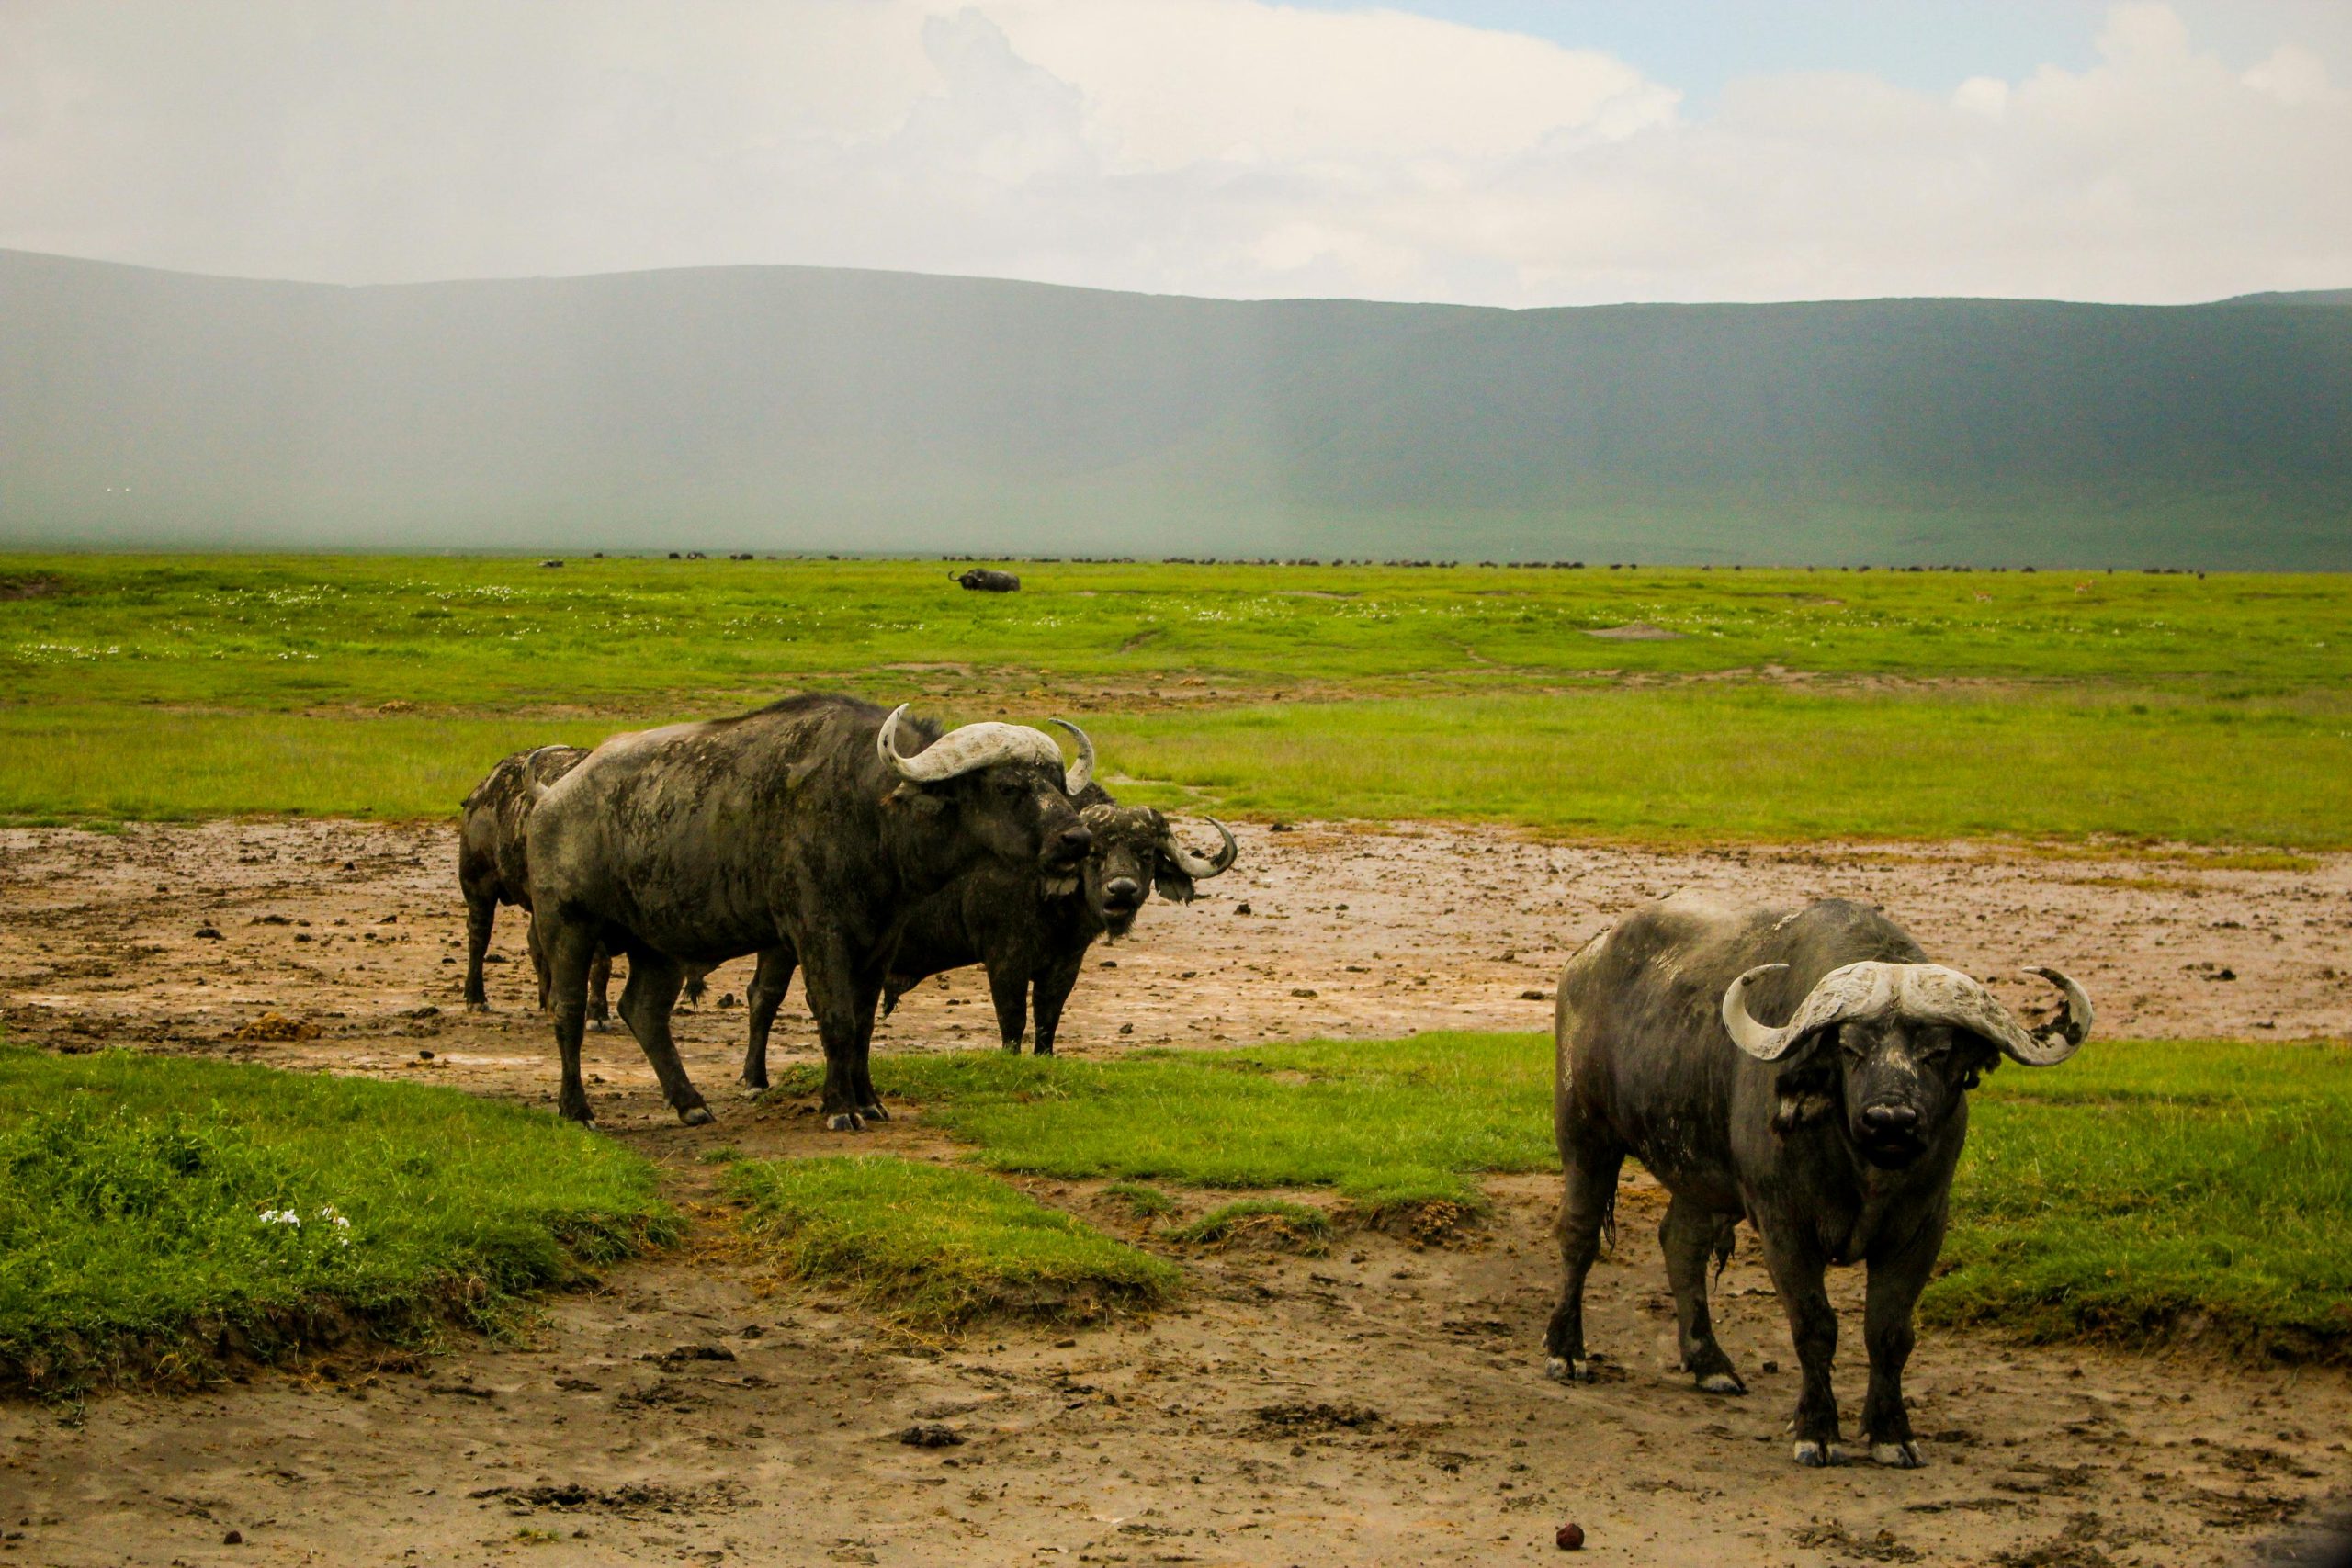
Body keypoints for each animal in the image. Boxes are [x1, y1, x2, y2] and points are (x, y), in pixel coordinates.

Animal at [526, 694, 1095, 1129]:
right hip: (566, 924)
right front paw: (839, 1107)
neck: (868, 810)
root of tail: (552, 797)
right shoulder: (817, 934)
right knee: (569, 1011)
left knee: (644, 1011)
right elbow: (836, 1017)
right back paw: (577, 1110)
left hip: (659, 942)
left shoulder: (880, 940)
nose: (1077, 838)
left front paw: (869, 1100)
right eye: (1008, 786)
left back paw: (691, 1105)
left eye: (1055, 780)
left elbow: (863, 1024)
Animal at [1545, 894, 2091, 1468]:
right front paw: (1818, 1429)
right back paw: (1567, 1351)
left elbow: (1889, 1332)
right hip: (1586, 1135)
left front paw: (1891, 1433)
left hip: (1700, 1173)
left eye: (1939, 1051)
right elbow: (1814, 1325)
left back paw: (1710, 1364)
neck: (1865, 1173)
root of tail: (1584, 961)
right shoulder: (1784, 1225)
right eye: (1850, 1049)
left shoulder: (1921, 1229)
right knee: (1578, 1236)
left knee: (1682, 1243)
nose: (1889, 1120)